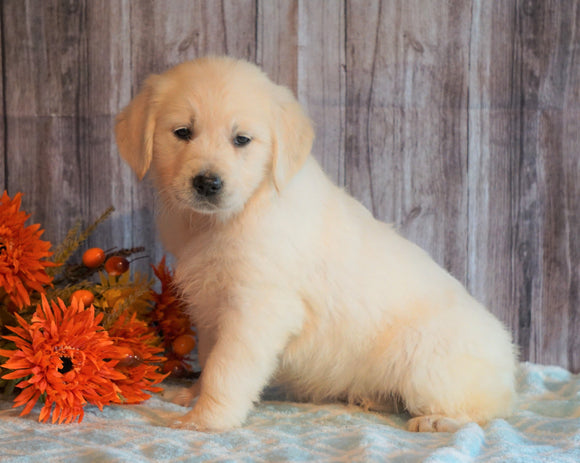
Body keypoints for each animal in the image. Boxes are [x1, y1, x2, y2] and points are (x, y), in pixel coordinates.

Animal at [115, 56, 516, 434]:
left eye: (241, 140)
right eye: (182, 132)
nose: (207, 183)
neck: (229, 217)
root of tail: (509, 362)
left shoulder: (256, 309)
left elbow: (224, 370)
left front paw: (205, 420)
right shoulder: (211, 305)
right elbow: (210, 355)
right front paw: (191, 396)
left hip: (429, 363)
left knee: (484, 412)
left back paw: (436, 420)